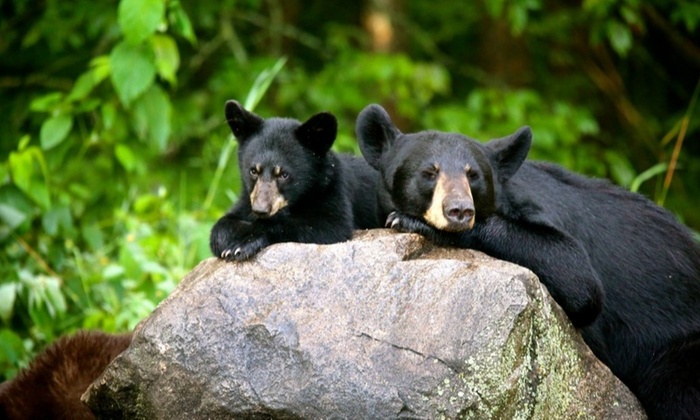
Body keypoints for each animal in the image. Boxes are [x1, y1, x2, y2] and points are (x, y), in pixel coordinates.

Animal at [211, 101, 386, 260]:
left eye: (284, 175)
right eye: (253, 171)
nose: (260, 209)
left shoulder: (333, 190)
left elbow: (330, 226)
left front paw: (244, 244)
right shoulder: (247, 199)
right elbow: (220, 227)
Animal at [356, 103, 700, 418]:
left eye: (473, 175)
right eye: (429, 172)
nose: (459, 210)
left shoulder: (540, 210)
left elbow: (579, 279)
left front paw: (414, 222)